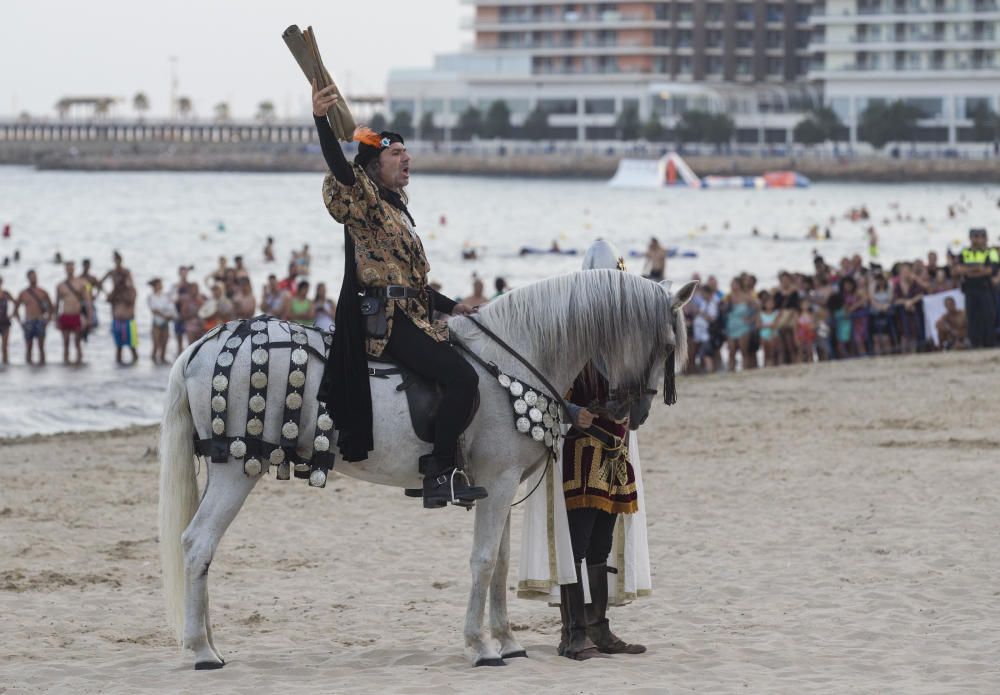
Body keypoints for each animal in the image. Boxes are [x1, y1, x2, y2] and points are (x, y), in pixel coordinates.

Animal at [160, 268, 700, 668]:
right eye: (668, 345)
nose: (636, 412)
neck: (513, 359)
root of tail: (202, 346)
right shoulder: (497, 483)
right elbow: (483, 561)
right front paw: (480, 647)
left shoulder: (500, 486)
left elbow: (501, 563)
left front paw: (507, 641)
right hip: (237, 468)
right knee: (198, 544)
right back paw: (201, 650)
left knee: (200, 549)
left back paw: (208, 640)